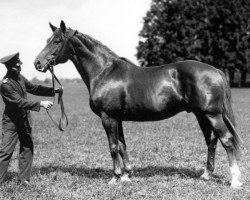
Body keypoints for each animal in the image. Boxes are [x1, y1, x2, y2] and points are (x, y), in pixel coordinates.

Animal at [33, 20, 242, 188]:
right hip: (201, 115)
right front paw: (127, 175)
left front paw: (115, 178)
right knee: (211, 141)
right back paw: (206, 175)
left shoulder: (108, 117)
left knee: (227, 140)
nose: (38, 63)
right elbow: (122, 145)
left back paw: (235, 181)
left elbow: (113, 147)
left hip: (212, 115)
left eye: (57, 41)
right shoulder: (118, 118)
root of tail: (217, 71)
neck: (104, 72)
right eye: (47, 39)